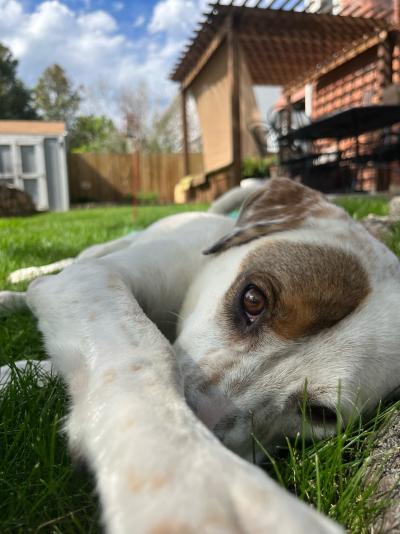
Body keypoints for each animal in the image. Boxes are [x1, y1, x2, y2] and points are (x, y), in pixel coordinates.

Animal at [0, 178, 400, 532]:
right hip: (102, 251)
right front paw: (189, 471)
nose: (194, 414)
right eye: (253, 298)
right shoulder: (93, 278)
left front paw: (18, 375)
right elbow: (142, 348)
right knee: (64, 264)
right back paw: (18, 283)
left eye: (320, 414)